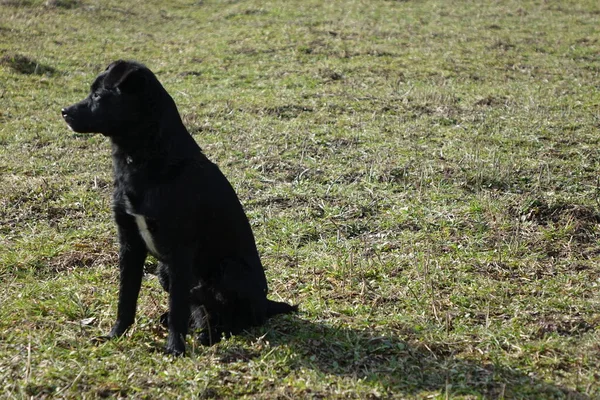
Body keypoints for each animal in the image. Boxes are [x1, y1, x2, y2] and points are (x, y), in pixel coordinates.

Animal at [61, 61, 296, 354]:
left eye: (97, 95)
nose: (64, 112)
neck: (144, 157)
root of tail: (267, 303)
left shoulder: (179, 251)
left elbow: (177, 308)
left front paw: (175, 349)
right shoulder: (130, 243)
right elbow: (126, 298)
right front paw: (116, 334)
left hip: (228, 271)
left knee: (239, 317)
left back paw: (214, 334)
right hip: (165, 272)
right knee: (200, 309)